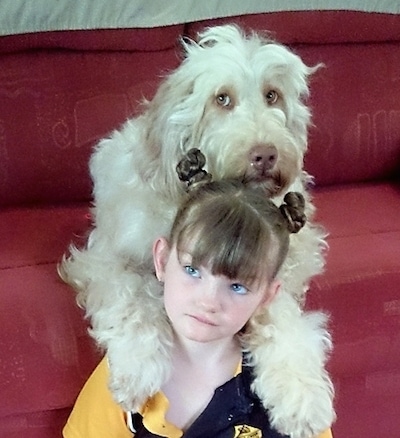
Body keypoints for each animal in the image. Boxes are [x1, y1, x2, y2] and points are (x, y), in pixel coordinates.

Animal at [60, 24, 334, 438]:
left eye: (272, 94)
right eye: (222, 99)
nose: (266, 154)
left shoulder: (273, 272)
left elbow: (282, 318)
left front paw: (300, 393)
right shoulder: (103, 262)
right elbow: (134, 300)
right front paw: (136, 370)